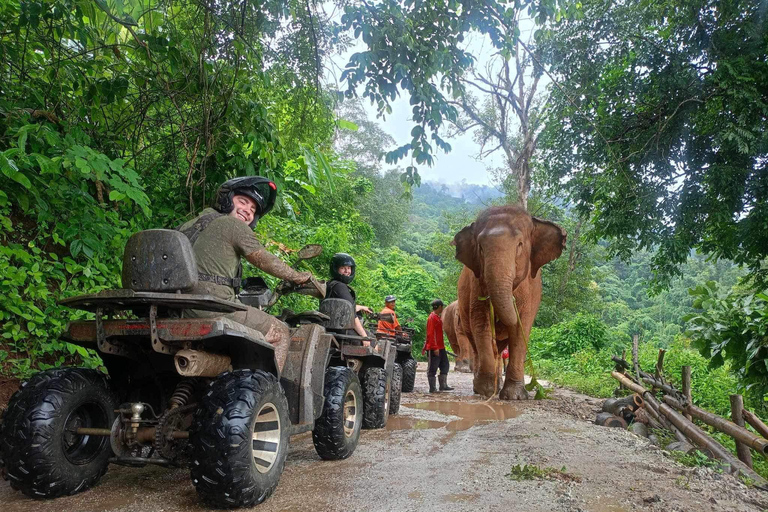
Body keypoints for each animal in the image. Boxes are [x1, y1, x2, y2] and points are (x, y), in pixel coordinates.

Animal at [452, 206, 566, 400]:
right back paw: (483, 387)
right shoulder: (477, 284)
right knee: (476, 343)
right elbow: (481, 323)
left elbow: (521, 328)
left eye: (519, 244)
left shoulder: (530, 289)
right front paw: (485, 391)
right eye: (480, 247)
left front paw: (515, 396)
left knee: (499, 347)